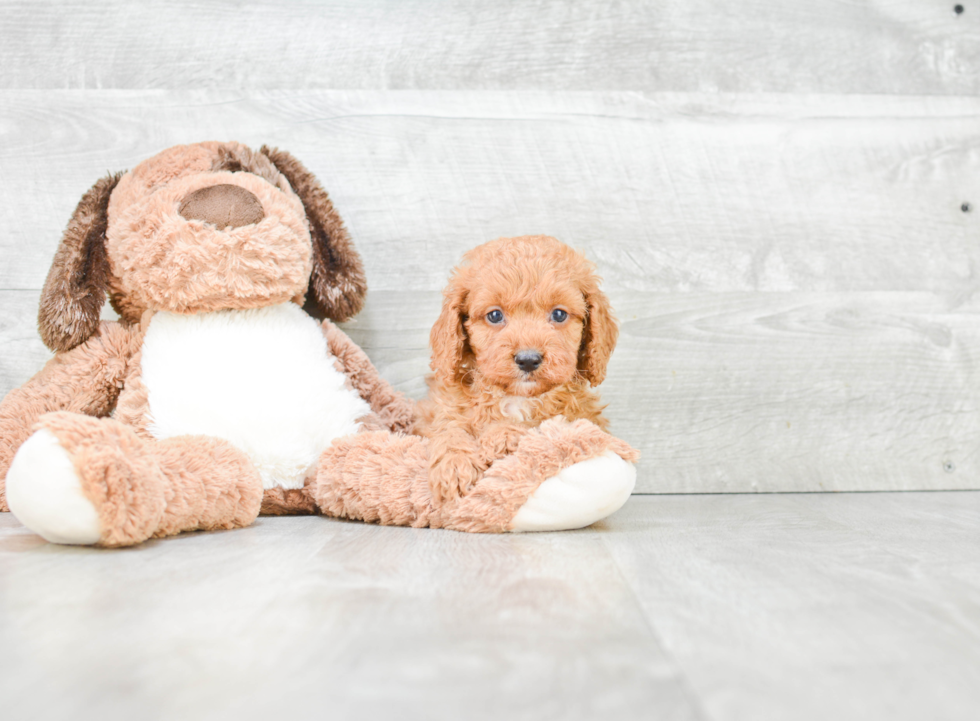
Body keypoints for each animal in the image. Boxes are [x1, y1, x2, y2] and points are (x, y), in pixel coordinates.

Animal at [416, 233, 616, 504]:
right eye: (495, 315)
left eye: (559, 314)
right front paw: (455, 465)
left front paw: (501, 435)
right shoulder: (442, 409)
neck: (516, 397)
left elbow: (545, 428)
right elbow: (449, 427)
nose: (528, 359)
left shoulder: (584, 421)